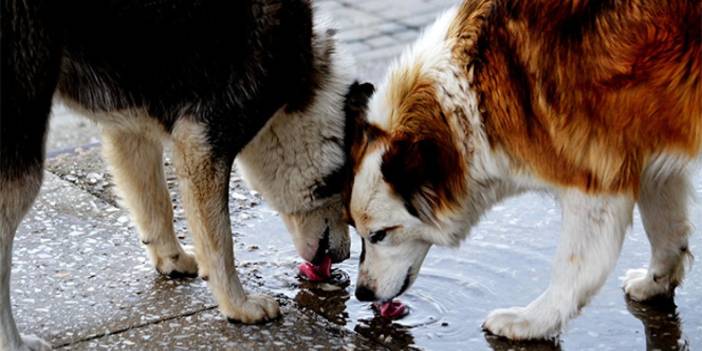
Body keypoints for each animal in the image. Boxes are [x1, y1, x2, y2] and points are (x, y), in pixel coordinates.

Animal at [0, 1, 364, 350]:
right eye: (345, 197)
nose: (345, 258)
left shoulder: (130, 127)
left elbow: (155, 202)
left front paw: (171, 257)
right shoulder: (202, 140)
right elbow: (220, 243)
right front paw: (237, 304)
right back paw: (16, 343)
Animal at [350, 0, 700, 342]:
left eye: (379, 235)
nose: (362, 294)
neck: (475, 90)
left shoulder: (596, 181)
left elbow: (574, 268)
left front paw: (533, 321)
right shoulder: (650, 156)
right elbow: (666, 231)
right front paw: (655, 283)